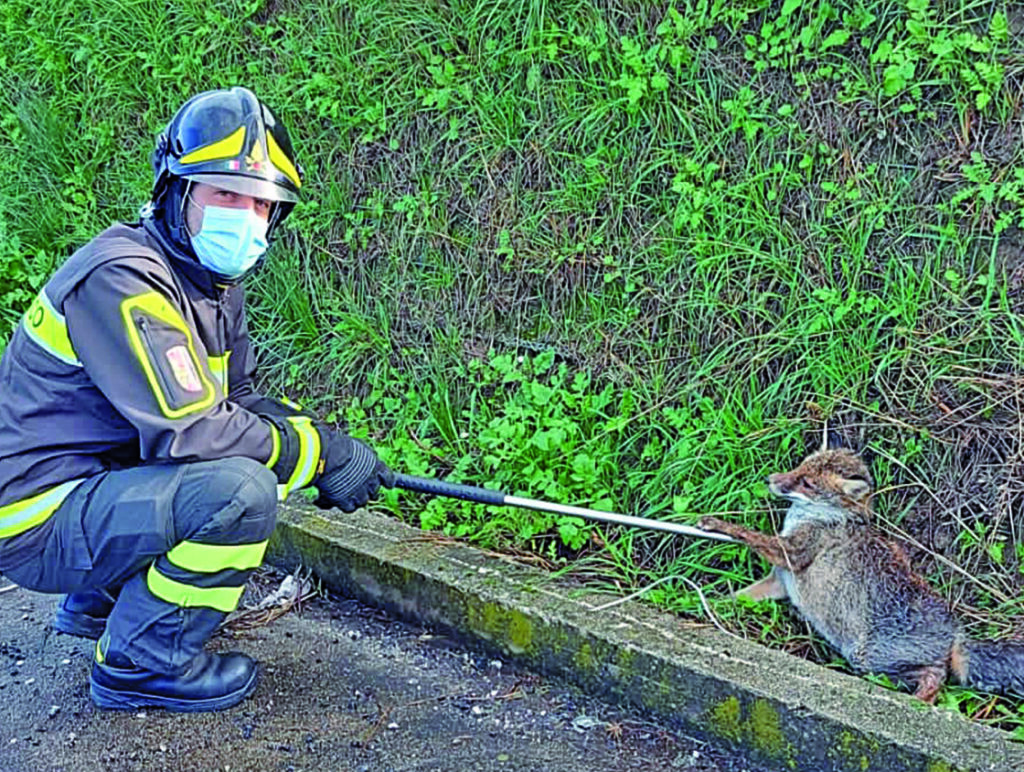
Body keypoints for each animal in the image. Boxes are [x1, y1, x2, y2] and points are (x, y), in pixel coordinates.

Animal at [698, 447, 1024, 703]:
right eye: (801, 465)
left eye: (807, 483)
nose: (771, 480)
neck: (824, 517)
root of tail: (955, 631)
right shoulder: (780, 581)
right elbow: (734, 597)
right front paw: (705, 605)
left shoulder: (792, 553)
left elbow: (747, 534)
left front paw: (717, 524)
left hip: (864, 656)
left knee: (936, 677)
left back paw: (914, 702)